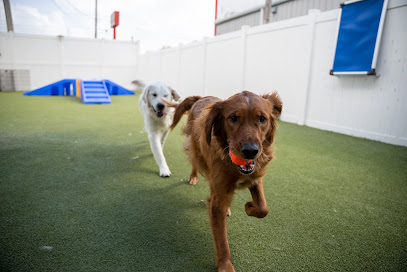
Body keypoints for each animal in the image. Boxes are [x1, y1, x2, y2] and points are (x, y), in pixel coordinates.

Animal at [171, 91, 282, 272]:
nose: (250, 151)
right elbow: (222, 240)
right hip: (196, 152)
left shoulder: (255, 177)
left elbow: (263, 208)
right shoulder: (219, 195)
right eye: (233, 118)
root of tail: (201, 97)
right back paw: (193, 177)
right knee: (195, 164)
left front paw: (249, 207)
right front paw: (225, 265)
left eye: (262, 118)